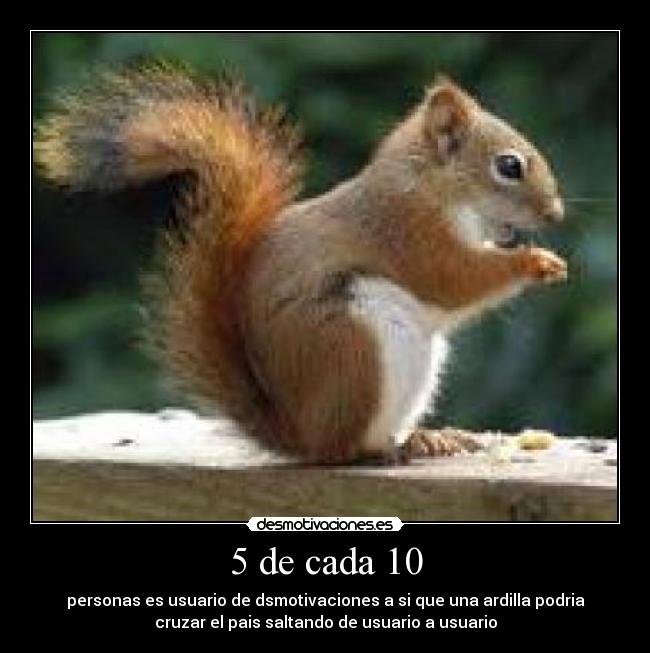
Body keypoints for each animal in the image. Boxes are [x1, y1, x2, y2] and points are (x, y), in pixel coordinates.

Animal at [34, 65, 567, 464]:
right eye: (509, 166)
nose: (556, 214)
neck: (429, 185)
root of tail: (298, 433)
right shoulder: (410, 234)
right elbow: (457, 278)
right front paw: (537, 262)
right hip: (355, 347)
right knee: (345, 448)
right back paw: (390, 448)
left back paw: (429, 438)